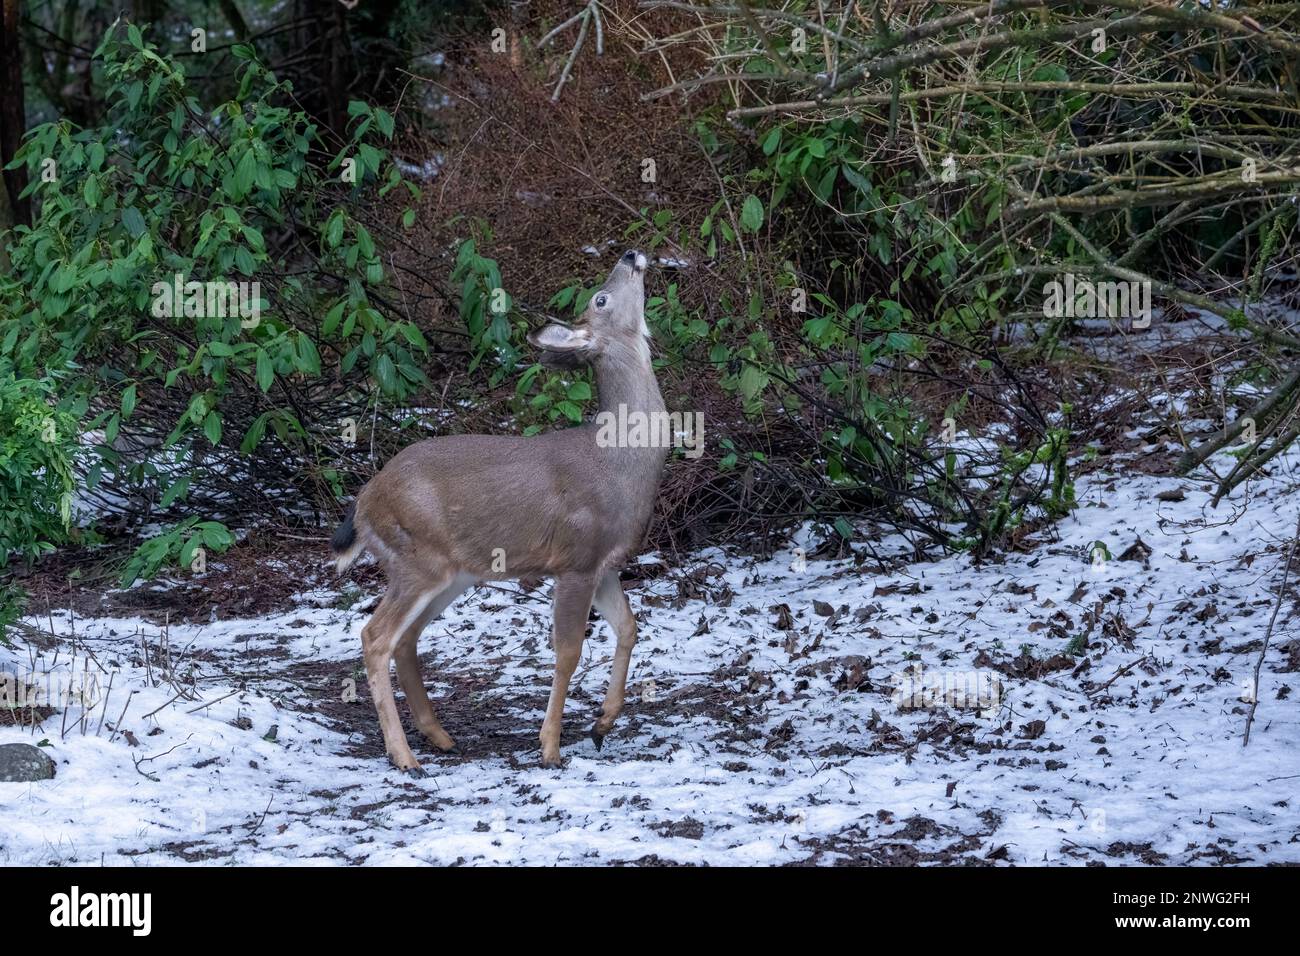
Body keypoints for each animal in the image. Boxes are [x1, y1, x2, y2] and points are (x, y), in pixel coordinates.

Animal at [330, 251, 665, 775]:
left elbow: (629, 628)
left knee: (405, 639)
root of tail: (364, 501)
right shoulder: (574, 559)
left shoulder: (605, 563)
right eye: (601, 298)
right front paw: (550, 747)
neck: (618, 461)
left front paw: (601, 724)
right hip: (416, 558)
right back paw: (405, 756)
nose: (631, 256)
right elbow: (568, 652)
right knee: (375, 636)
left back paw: (440, 737)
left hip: (451, 572)